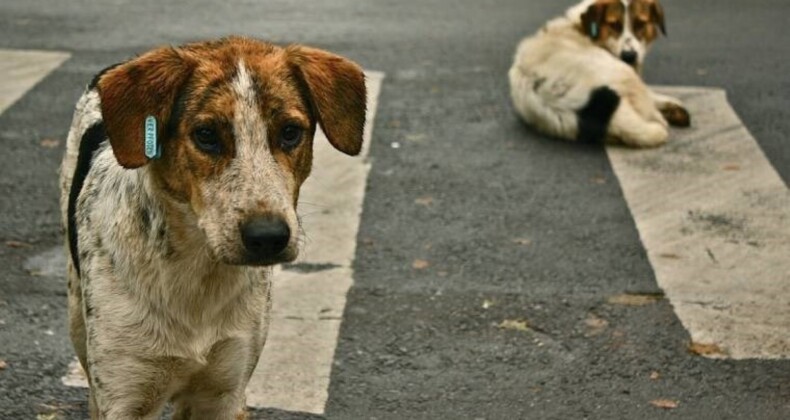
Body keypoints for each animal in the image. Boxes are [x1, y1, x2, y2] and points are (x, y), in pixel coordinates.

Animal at [59, 37, 368, 418]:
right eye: (206, 135)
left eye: (290, 132)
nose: (268, 237)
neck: (197, 272)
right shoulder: (124, 396)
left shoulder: (224, 391)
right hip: (77, 314)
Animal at [510, 0, 688, 148]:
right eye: (613, 25)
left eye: (640, 24)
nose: (629, 56)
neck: (580, 27)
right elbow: (651, 95)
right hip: (623, 73)